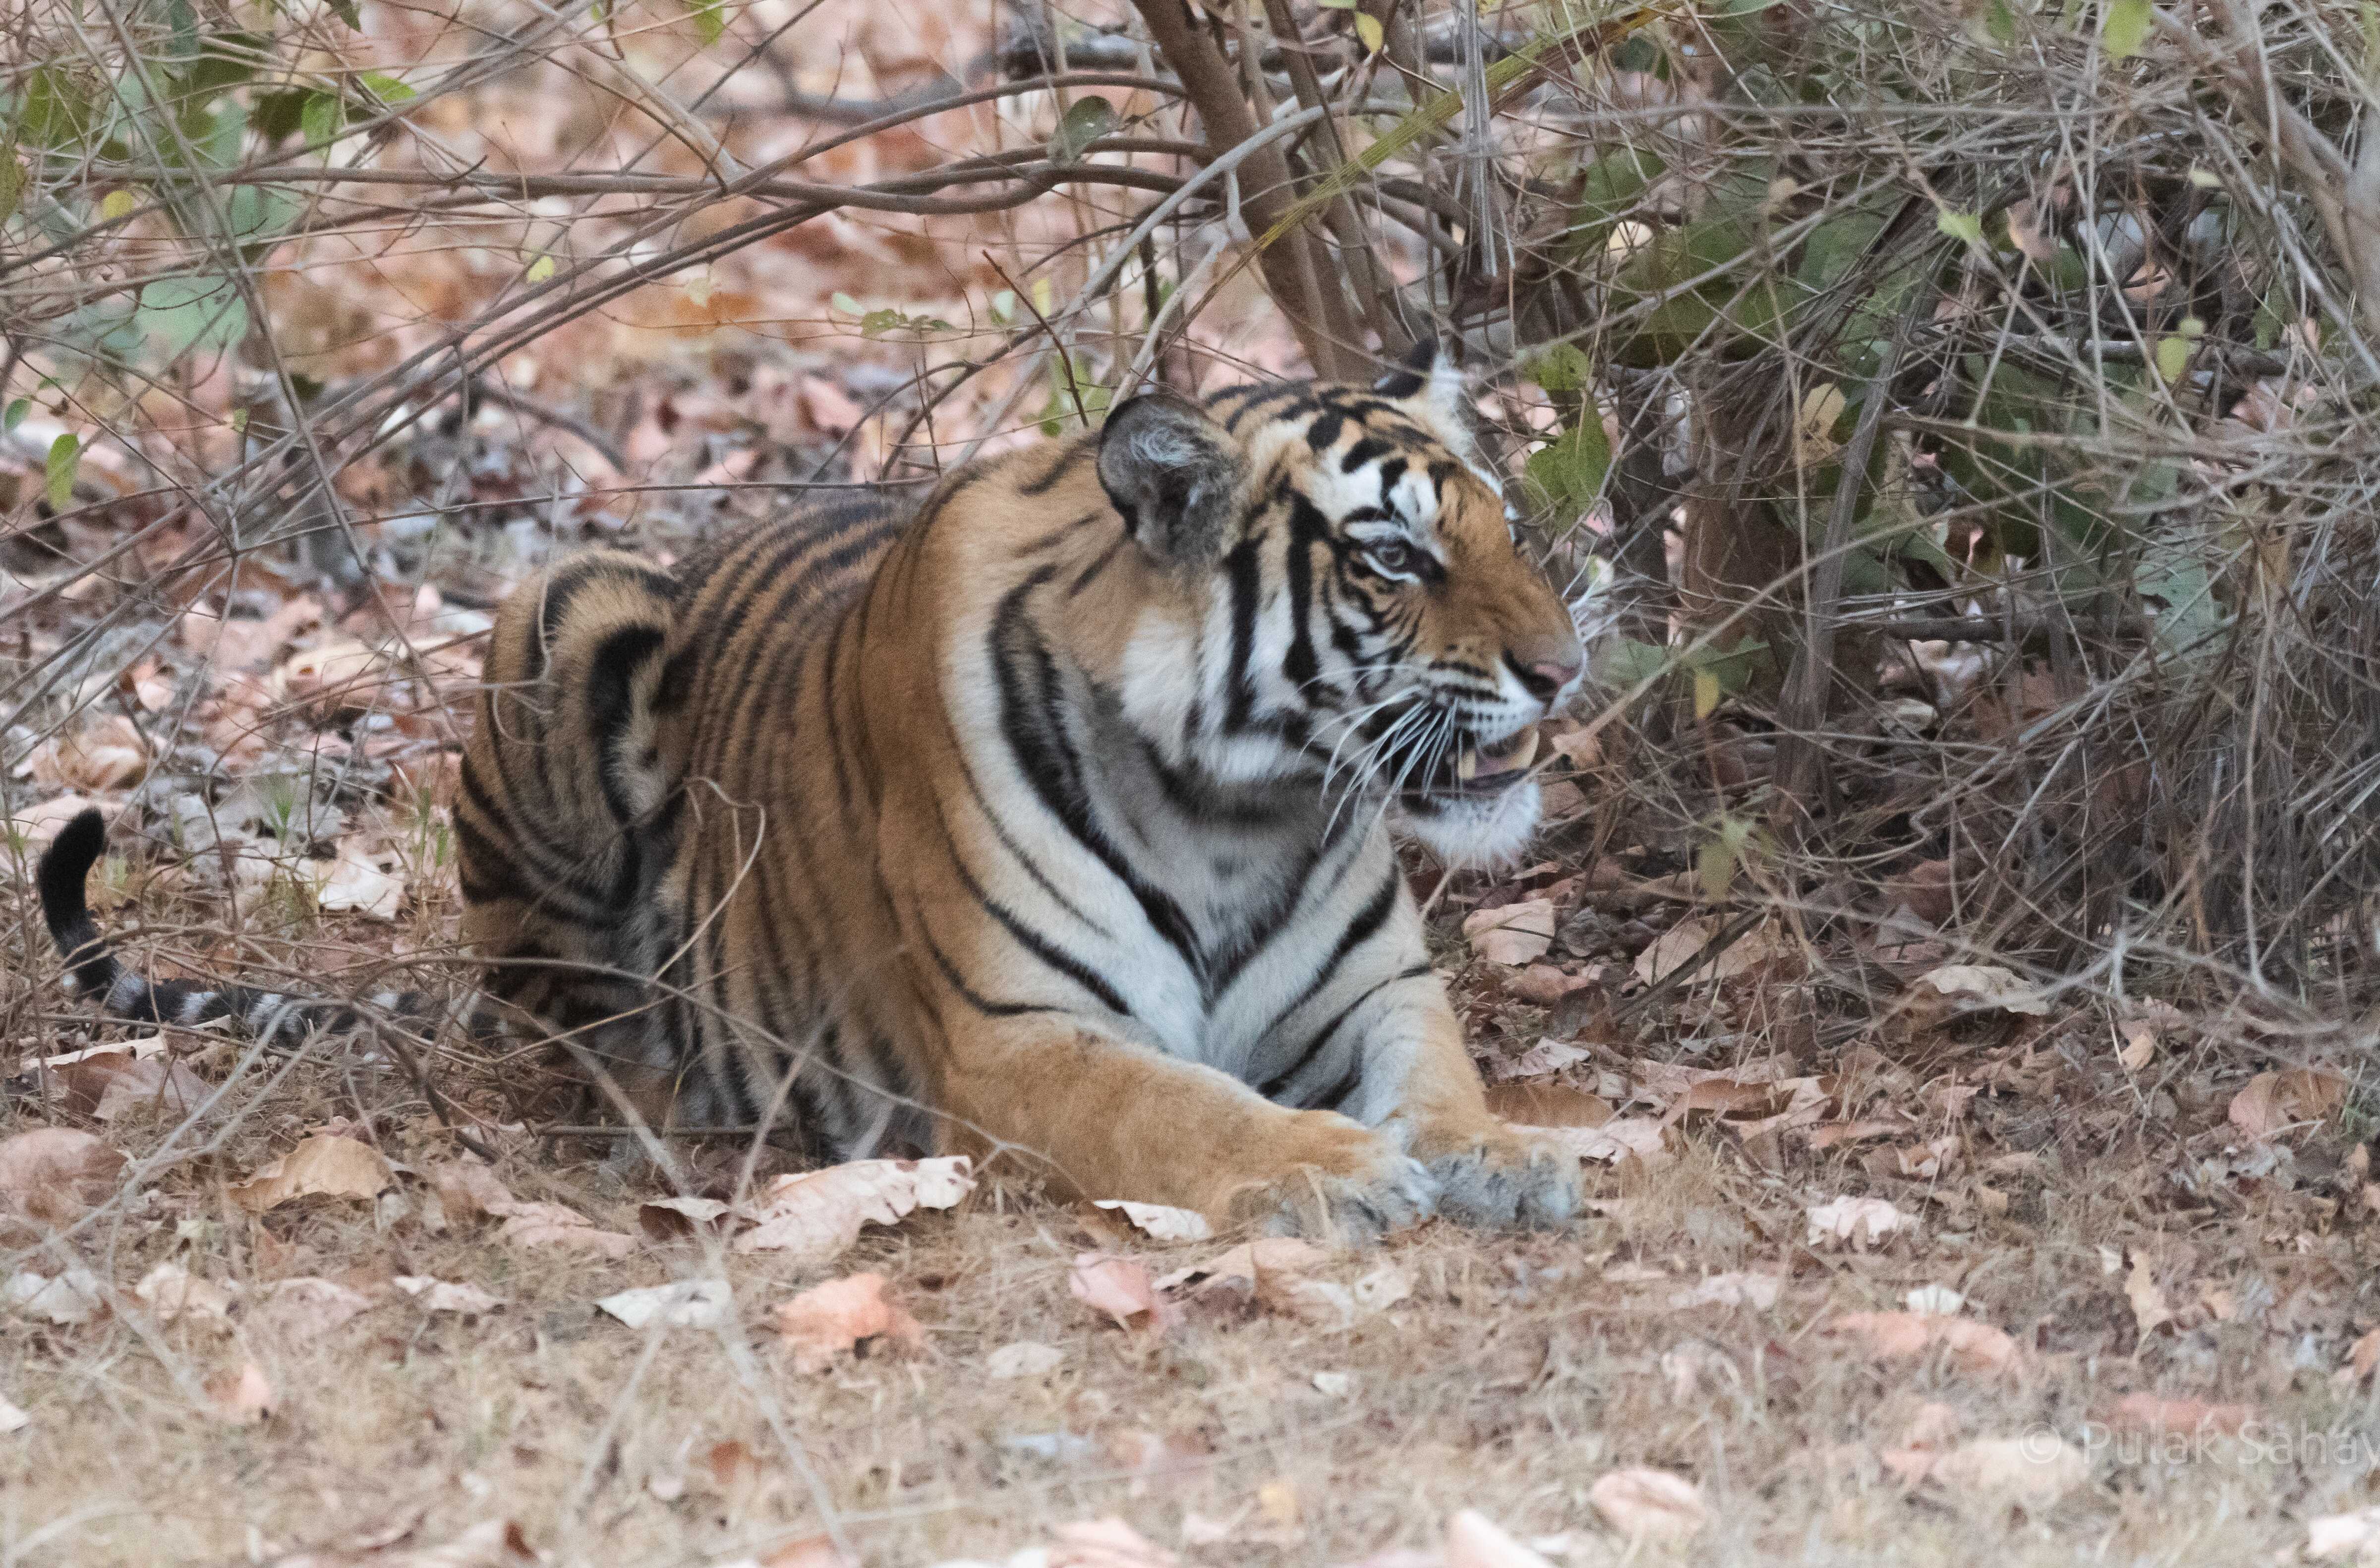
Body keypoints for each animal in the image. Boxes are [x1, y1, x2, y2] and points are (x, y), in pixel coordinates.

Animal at [39, 342, 1594, 1239]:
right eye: (1391, 557)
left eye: (1502, 528)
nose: (1565, 669)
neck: (1238, 809)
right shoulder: (1016, 1039)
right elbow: (1183, 1107)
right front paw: (1332, 1169)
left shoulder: (1380, 993)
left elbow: (1443, 1080)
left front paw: (1502, 1156)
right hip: (566, 605)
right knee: (562, 1014)